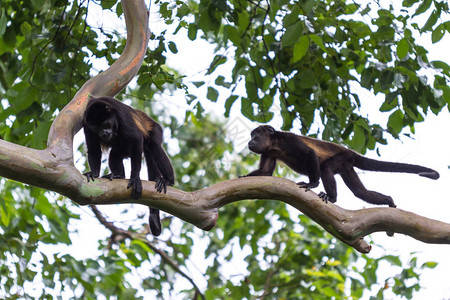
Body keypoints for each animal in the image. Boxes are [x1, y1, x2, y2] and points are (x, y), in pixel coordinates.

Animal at [82, 96, 174, 237]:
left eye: (105, 125)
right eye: (96, 128)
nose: (104, 133)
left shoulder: (121, 115)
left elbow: (136, 137)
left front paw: (135, 178)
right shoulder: (86, 124)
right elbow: (93, 148)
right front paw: (94, 172)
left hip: (156, 130)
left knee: (153, 145)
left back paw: (168, 180)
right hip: (123, 149)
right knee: (114, 155)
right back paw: (119, 175)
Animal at [244, 125, 438, 207]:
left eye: (255, 136)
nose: (249, 141)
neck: (275, 143)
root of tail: (351, 153)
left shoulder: (289, 140)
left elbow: (310, 154)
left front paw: (312, 183)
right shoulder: (268, 152)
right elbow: (265, 171)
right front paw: (244, 178)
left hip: (342, 158)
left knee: (326, 168)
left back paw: (331, 197)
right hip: (347, 166)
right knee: (361, 192)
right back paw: (388, 200)